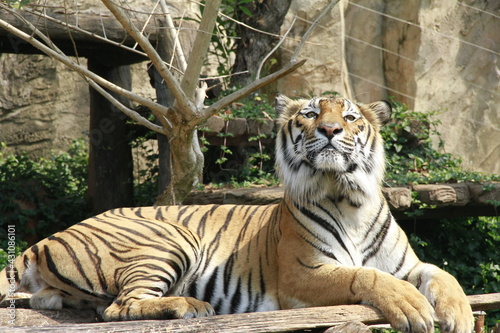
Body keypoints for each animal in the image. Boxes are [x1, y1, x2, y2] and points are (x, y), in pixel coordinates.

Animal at [0, 94, 472, 330]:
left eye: (351, 117)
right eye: (310, 113)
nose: (330, 129)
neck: (348, 195)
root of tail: (50, 237)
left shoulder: (406, 264)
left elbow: (443, 274)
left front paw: (461, 315)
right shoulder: (302, 274)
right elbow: (366, 276)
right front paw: (412, 307)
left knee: (88, 304)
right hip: (168, 240)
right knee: (120, 308)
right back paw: (191, 307)